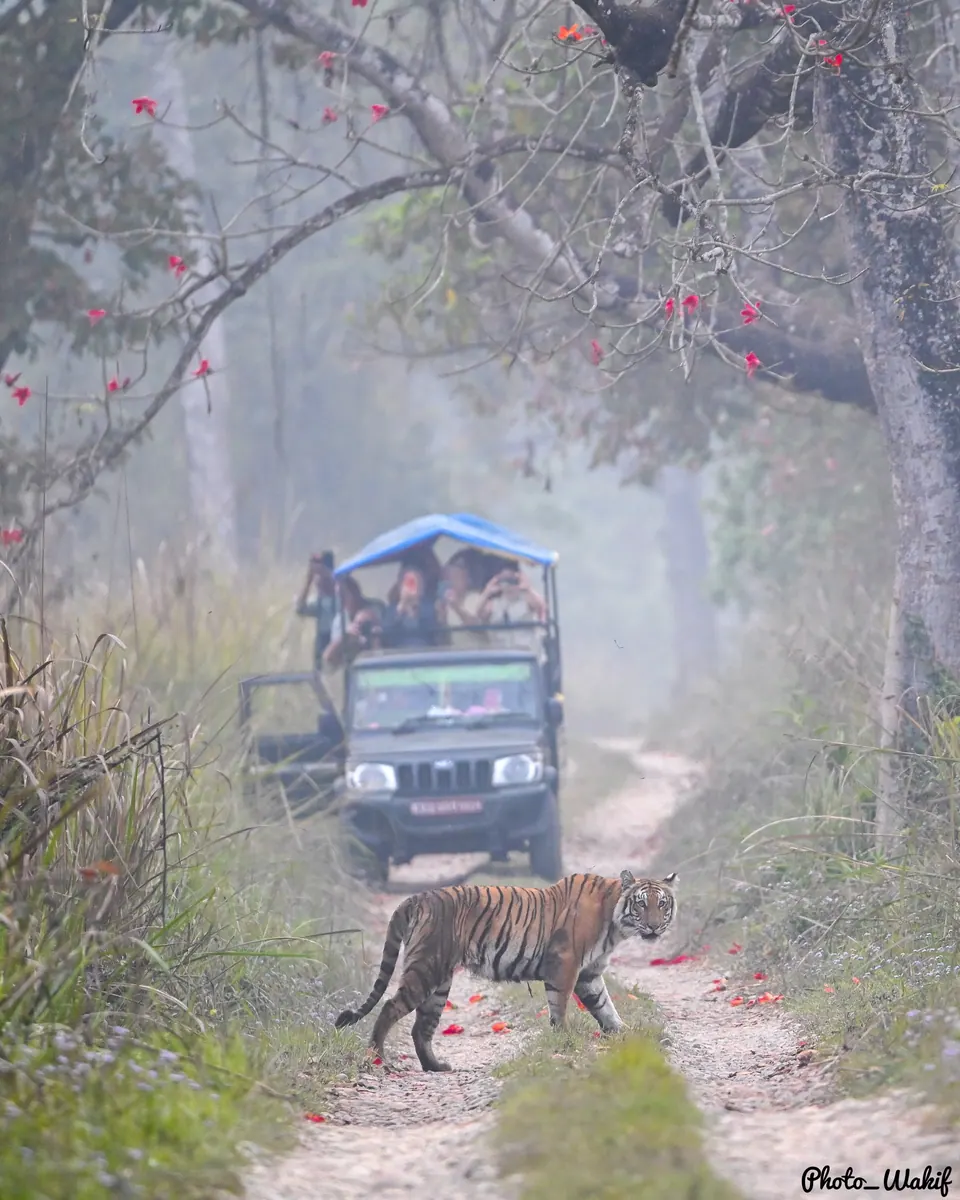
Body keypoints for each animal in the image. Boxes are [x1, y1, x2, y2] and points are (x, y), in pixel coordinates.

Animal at [334, 868, 677, 1072]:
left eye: (662, 904)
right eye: (641, 903)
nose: (654, 926)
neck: (615, 920)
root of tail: (416, 898)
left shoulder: (589, 974)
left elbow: (606, 1007)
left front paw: (626, 1035)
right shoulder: (565, 965)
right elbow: (560, 1007)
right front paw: (565, 1041)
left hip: (439, 982)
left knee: (422, 1027)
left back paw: (436, 1066)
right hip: (426, 968)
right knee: (390, 1007)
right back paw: (378, 1057)